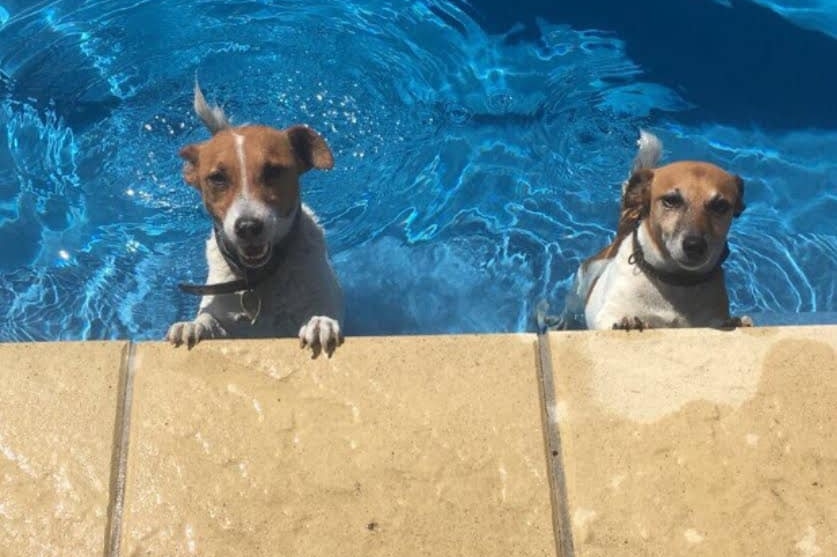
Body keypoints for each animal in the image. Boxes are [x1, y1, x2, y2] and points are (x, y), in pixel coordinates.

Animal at [167, 81, 342, 356]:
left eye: (273, 171)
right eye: (217, 178)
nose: (248, 227)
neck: (258, 278)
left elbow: (320, 311)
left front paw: (319, 322)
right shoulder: (222, 315)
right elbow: (209, 319)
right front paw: (194, 325)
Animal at [568, 130, 752, 330]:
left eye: (720, 206)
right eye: (671, 200)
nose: (695, 245)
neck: (676, 282)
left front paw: (737, 322)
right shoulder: (609, 313)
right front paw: (628, 323)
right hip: (582, 284)